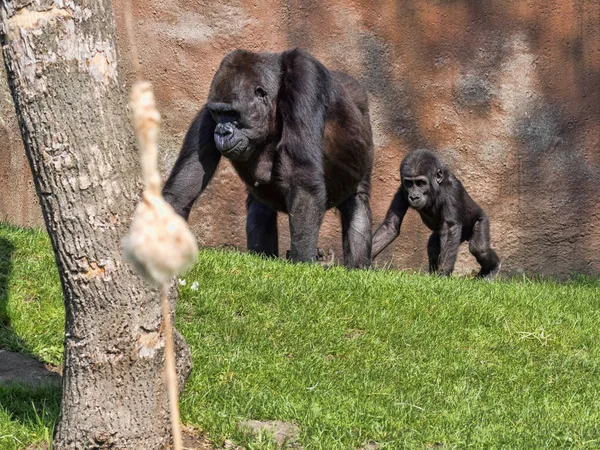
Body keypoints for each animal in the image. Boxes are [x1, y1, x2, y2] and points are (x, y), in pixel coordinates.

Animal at [162, 49, 372, 268]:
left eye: (232, 113)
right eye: (218, 113)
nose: (221, 132)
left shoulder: (306, 79)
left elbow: (302, 179)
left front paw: (303, 261)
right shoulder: (208, 111)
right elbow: (186, 182)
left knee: (358, 201)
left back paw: (358, 265)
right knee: (260, 206)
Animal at [372, 149, 500, 280]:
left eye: (420, 183)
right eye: (409, 184)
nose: (413, 196)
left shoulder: (453, 189)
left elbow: (450, 229)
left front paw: (443, 273)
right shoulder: (402, 191)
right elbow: (390, 226)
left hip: (481, 219)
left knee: (479, 249)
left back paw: (492, 269)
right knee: (433, 246)